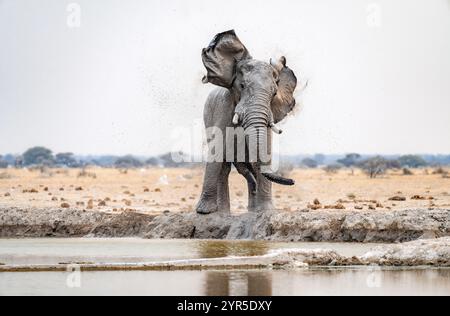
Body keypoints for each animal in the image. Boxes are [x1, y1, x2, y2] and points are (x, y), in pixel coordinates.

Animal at [196, 30, 298, 215]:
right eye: (242, 86)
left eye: (274, 94)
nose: (292, 181)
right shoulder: (223, 109)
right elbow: (217, 151)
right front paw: (204, 212)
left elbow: (264, 151)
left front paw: (266, 211)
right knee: (225, 167)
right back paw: (223, 213)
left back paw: (251, 208)